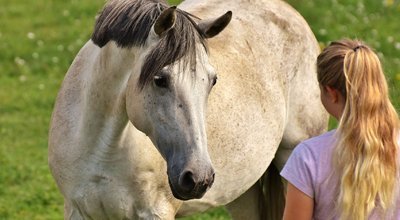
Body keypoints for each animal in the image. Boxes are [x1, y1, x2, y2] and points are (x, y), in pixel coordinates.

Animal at [47, 0, 328, 218]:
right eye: (160, 80)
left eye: (212, 81)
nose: (198, 177)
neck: (102, 149)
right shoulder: (77, 210)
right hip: (243, 192)